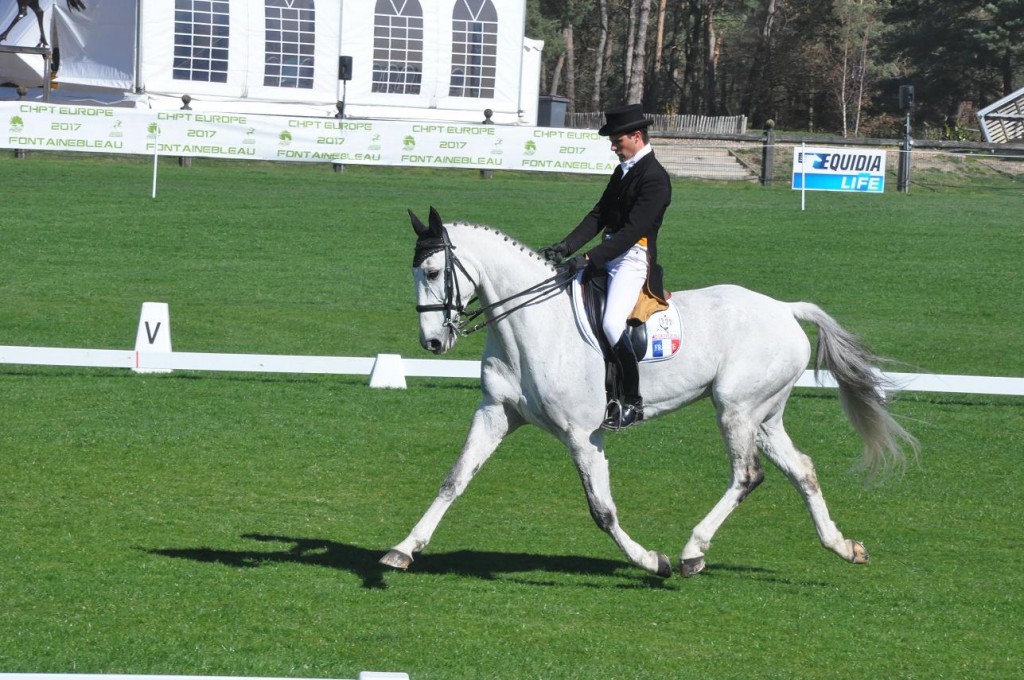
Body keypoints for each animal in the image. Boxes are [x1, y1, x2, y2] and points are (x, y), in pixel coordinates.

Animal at [380, 208, 917, 577]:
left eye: (434, 272)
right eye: (414, 272)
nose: (433, 343)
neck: (531, 325)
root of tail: (784, 309)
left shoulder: (582, 434)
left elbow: (602, 510)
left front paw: (651, 561)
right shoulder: (496, 414)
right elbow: (453, 481)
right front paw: (403, 549)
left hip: (736, 409)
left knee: (746, 475)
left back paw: (691, 553)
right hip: (764, 415)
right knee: (801, 469)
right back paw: (842, 547)